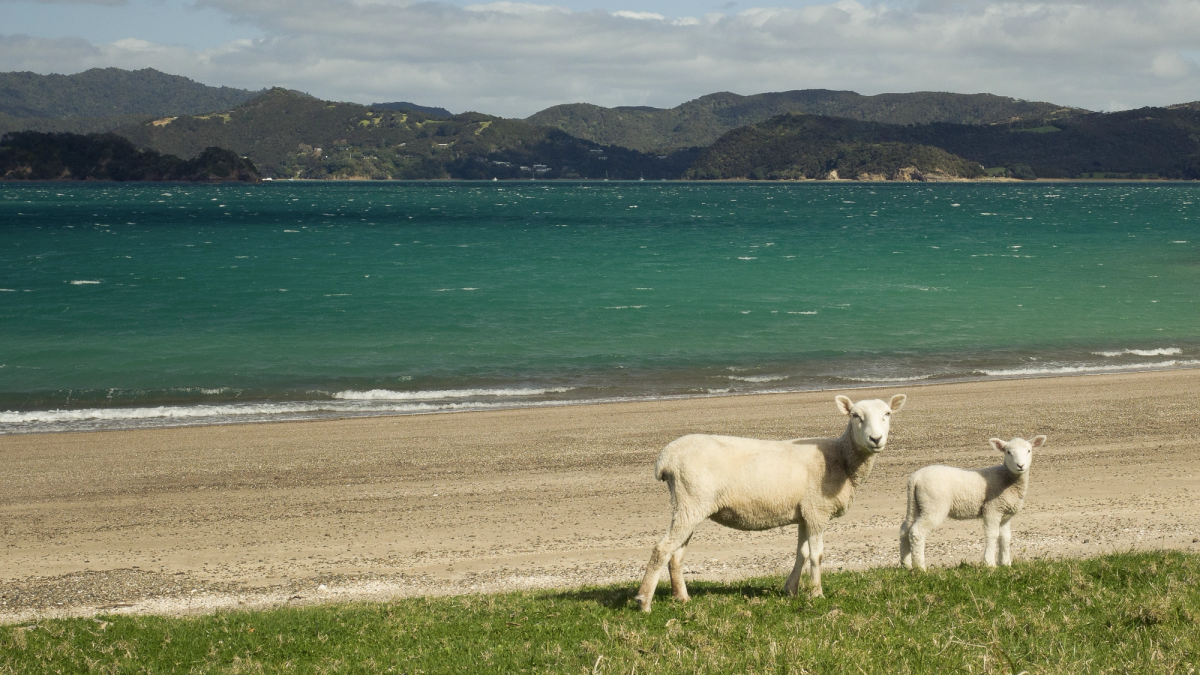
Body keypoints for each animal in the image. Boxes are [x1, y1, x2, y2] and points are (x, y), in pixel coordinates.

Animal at [634, 393, 907, 612]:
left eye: (887, 414)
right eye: (855, 416)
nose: (875, 439)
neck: (840, 459)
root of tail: (666, 458)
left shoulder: (805, 512)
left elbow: (802, 553)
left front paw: (791, 590)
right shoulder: (817, 510)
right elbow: (817, 555)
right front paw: (816, 593)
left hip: (689, 504)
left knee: (676, 554)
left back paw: (681, 598)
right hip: (691, 501)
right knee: (662, 549)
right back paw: (644, 602)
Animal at [899, 435, 1046, 571]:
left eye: (1028, 450)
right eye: (1008, 452)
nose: (1020, 466)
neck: (1006, 479)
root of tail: (915, 478)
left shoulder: (1005, 514)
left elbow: (1005, 538)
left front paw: (1006, 564)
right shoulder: (992, 509)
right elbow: (993, 535)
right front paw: (989, 563)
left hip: (916, 504)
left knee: (905, 529)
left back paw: (906, 564)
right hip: (934, 504)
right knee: (917, 532)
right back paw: (920, 567)